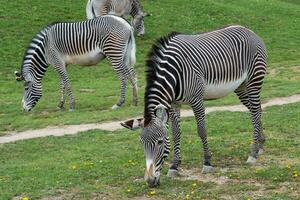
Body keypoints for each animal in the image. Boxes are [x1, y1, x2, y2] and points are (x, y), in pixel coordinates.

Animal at [122, 25, 268, 188]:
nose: (150, 181)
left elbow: (202, 131)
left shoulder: (197, 100)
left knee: (255, 113)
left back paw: (253, 153)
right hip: (241, 87)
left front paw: (207, 163)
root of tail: (248, 30)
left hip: (254, 81)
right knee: (256, 110)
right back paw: (260, 145)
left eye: (160, 142)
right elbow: (176, 133)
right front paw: (174, 166)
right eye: (141, 143)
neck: (173, 73)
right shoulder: (174, 104)